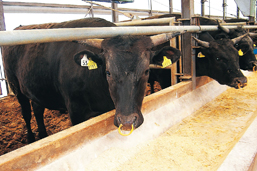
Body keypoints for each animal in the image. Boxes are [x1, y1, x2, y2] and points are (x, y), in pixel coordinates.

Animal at [3, 17, 181, 143]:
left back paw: (43, 134)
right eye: (108, 72)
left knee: (38, 108)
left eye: (146, 71)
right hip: (15, 87)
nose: (127, 121)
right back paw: (31, 138)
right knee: (26, 113)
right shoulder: (75, 111)